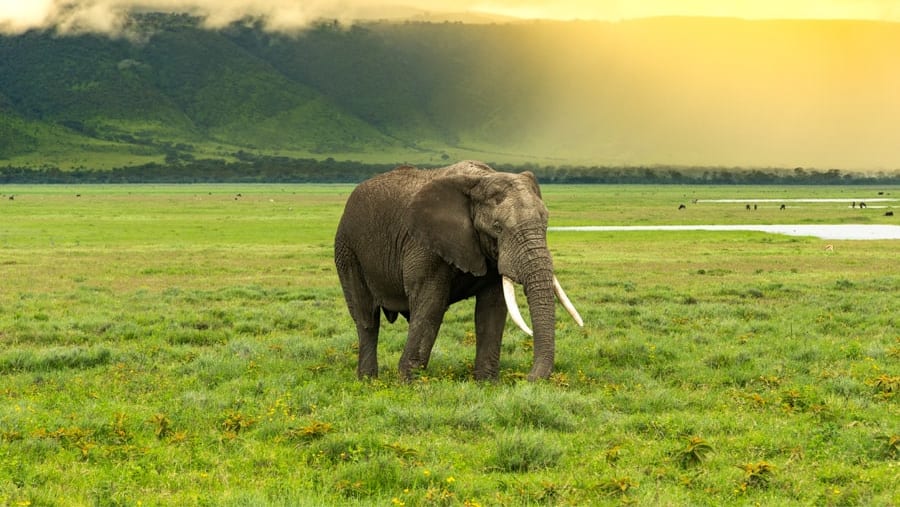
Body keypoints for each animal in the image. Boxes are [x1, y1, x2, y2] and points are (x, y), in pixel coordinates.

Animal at [334, 160, 583, 381]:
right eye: (497, 227)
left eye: (546, 224)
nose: (527, 379)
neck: (480, 179)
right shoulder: (424, 244)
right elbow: (431, 305)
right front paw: (410, 384)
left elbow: (492, 308)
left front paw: (487, 384)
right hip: (348, 251)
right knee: (366, 318)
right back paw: (368, 381)